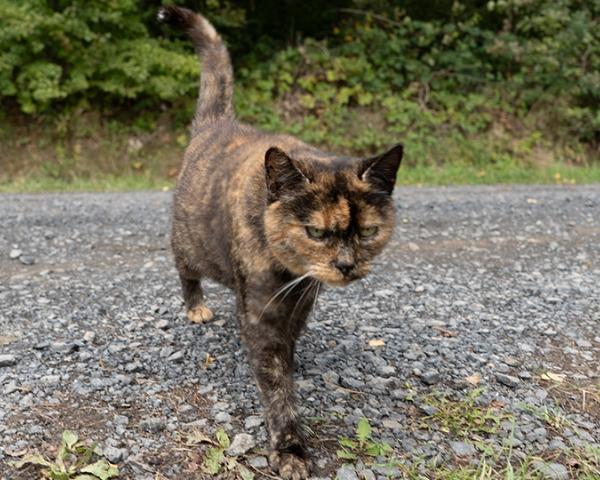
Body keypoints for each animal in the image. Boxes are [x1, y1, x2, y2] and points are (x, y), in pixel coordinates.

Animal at [159, 5, 404, 478]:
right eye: (316, 232)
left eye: (368, 231)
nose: (346, 264)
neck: (288, 273)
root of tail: (219, 123)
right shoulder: (261, 311)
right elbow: (275, 382)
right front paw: (290, 447)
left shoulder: (303, 295)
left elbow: (292, 339)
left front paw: (295, 357)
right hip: (190, 243)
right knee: (184, 270)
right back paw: (195, 305)